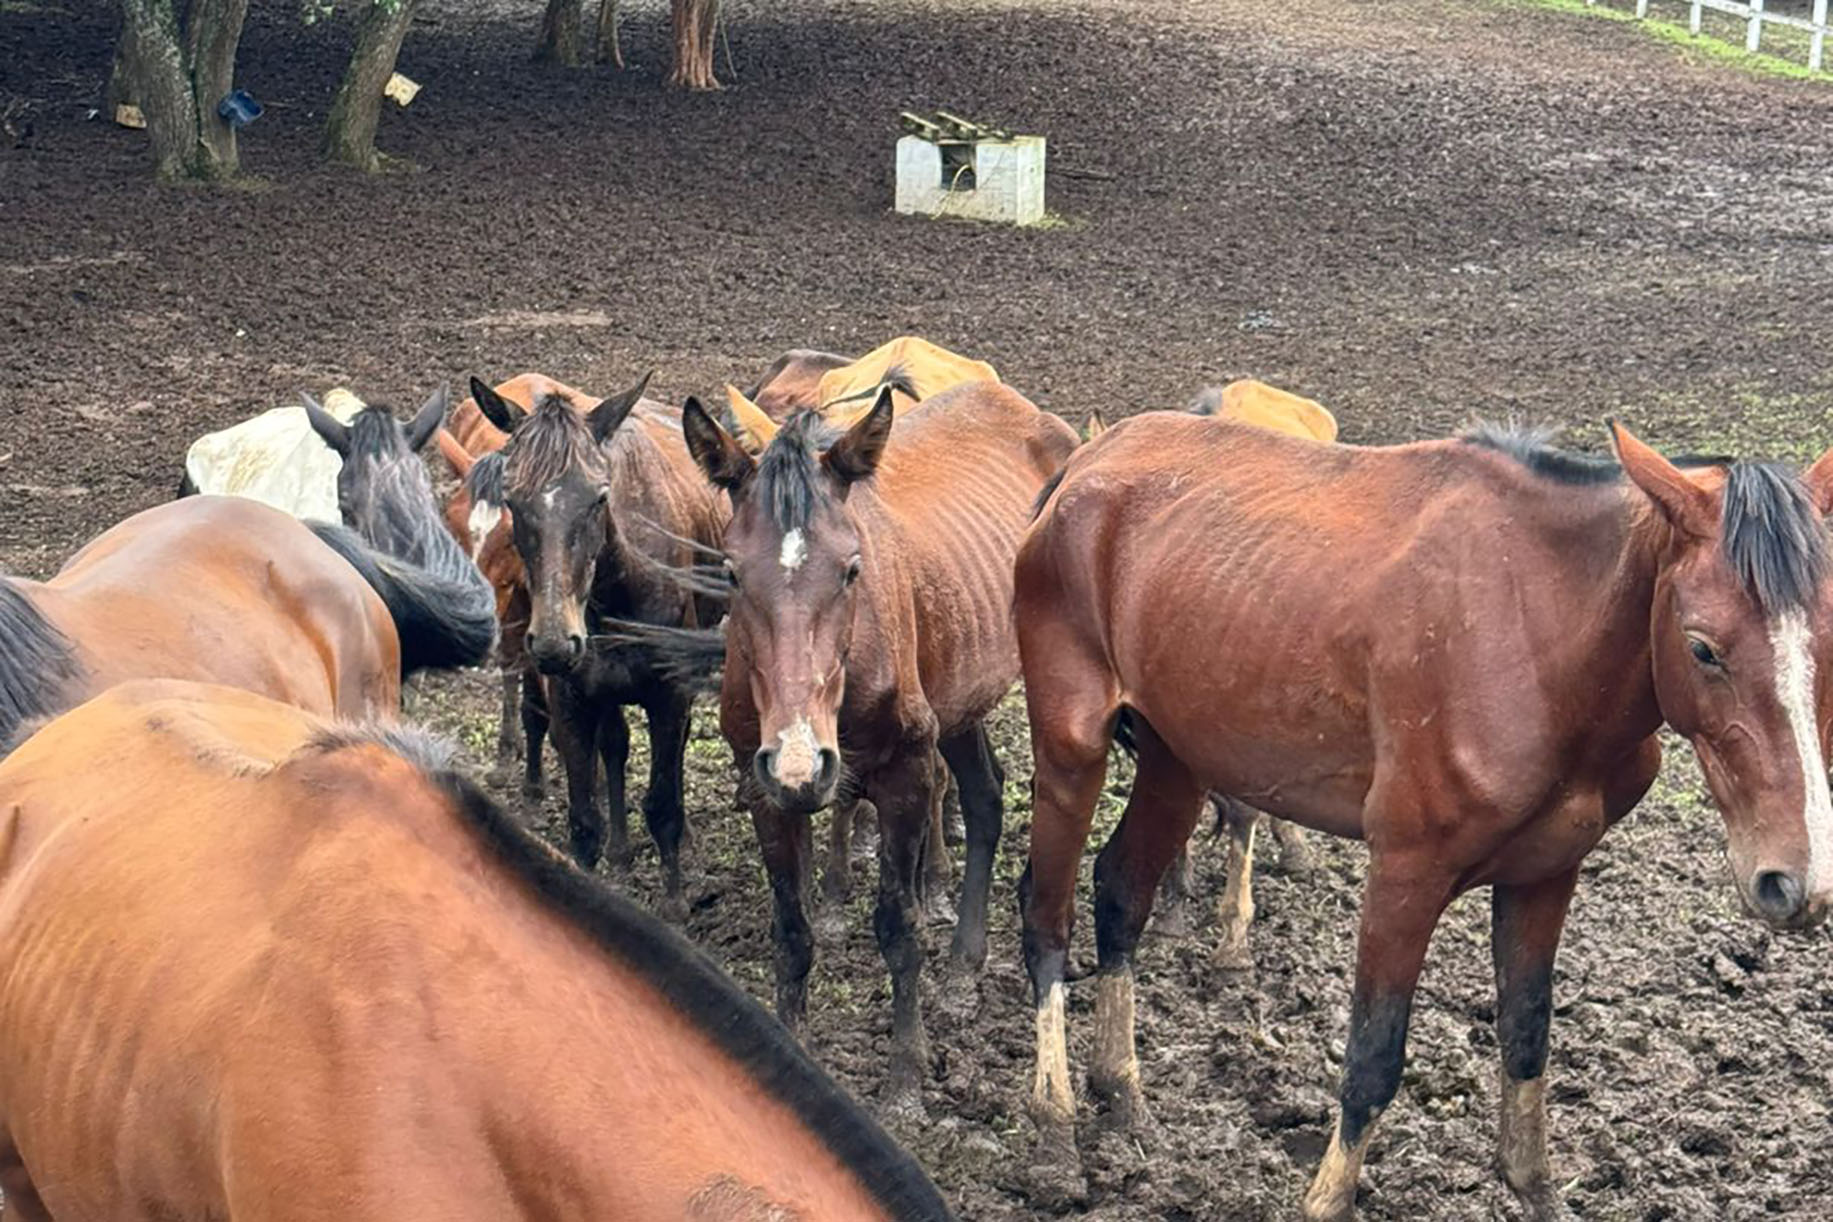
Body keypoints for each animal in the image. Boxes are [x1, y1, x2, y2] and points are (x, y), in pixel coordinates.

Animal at [465, 375, 722, 916]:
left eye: (599, 498)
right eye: (513, 501)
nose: (555, 643)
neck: (618, 589)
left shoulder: (670, 695)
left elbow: (663, 804)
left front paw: (674, 901)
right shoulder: (574, 697)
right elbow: (585, 821)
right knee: (614, 747)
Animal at [678, 382, 1077, 1121]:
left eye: (851, 569)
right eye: (732, 572)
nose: (801, 759)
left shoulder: (905, 774)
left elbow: (897, 926)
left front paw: (905, 1082)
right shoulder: (764, 787)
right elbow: (791, 929)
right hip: (957, 696)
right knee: (985, 795)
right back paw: (963, 970)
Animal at [1011, 415, 1833, 1216]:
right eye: (1702, 648)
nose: (1797, 883)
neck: (1534, 630)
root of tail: (1086, 463)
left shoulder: (1546, 873)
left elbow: (1526, 1033)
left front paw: (1531, 1184)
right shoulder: (1405, 873)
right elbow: (1373, 1057)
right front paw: (1327, 1199)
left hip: (1177, 758)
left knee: (1120, 893)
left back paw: (1121, 1090)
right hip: (1070, 749)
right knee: (1047, 915)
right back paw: (1054, 1129)